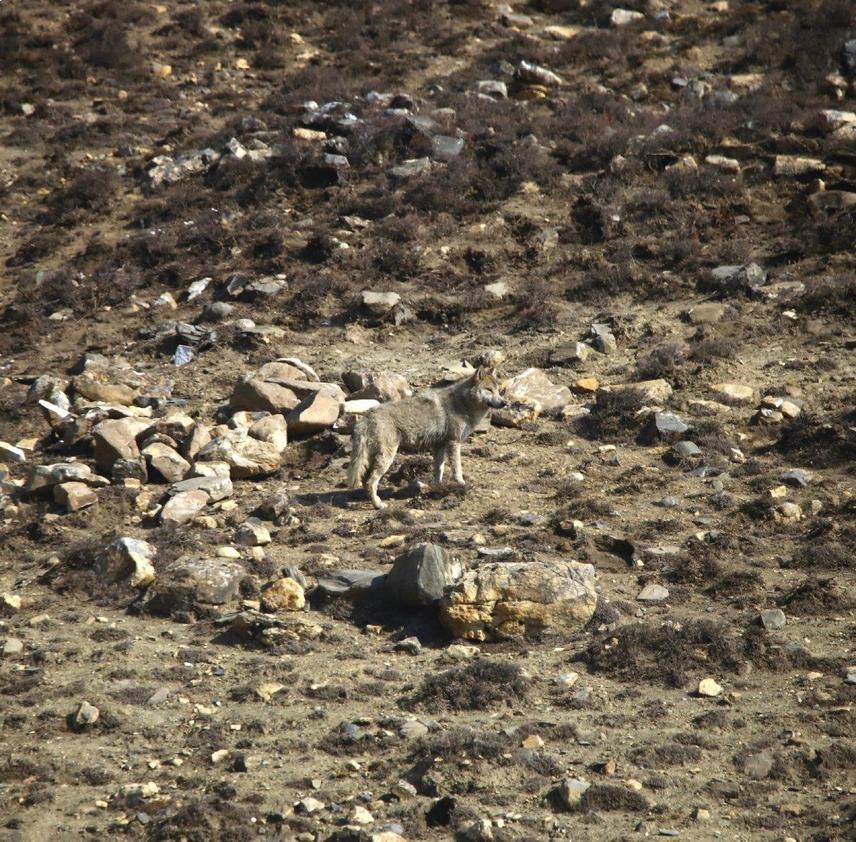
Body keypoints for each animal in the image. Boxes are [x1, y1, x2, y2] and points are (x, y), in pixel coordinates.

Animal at [348, 351, 507, 509]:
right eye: (489, 390)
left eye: (498, 391)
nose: (504, 403)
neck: (463, 403)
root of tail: (367, 416)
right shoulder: (454, 442)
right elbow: (457, 468)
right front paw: (461, 483)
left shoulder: (440, 445)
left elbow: (438, 470)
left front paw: (438, 487)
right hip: (386, 458)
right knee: (371, 482)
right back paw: (378, 504)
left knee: (365, 481)